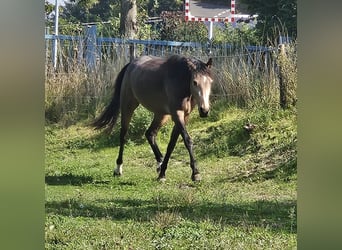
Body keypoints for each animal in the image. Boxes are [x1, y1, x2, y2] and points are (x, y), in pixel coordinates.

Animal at [92, 53, 212, 181]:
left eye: (210, 82)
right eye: (194, 82)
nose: (204, 111)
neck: (179, 80)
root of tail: (131, 64)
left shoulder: (184, 116)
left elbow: (171, 144)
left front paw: (162, 173)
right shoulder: (177, 114)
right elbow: (187, 140)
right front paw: (196, 173)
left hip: (161, 114)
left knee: (150, 133)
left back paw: (159, 164)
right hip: (128, 106)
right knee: (123, 135)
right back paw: (118, 168)